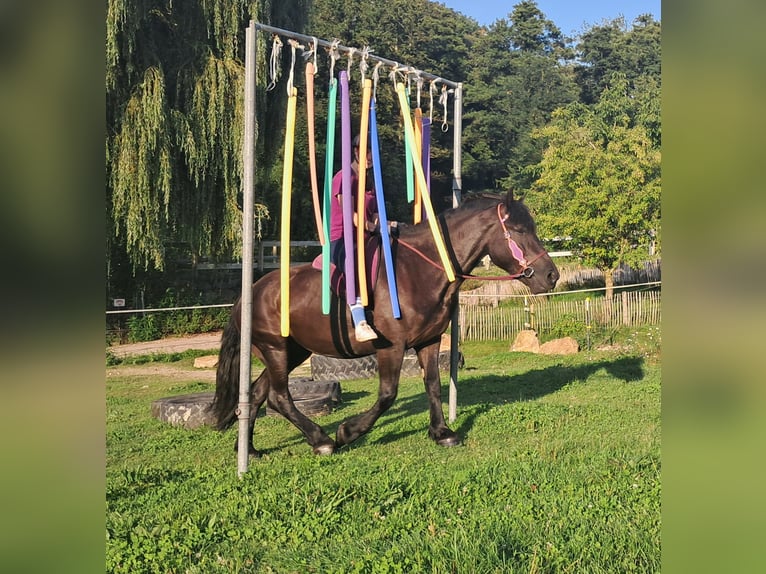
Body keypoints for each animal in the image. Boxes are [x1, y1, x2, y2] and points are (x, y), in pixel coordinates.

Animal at [209, 189, 559, 456]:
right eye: (519, 231)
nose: (551, 276)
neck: (418, 271)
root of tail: (253, 290)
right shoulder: (392, 347)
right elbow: (388, 394)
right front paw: (349, 431)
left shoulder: (429, 341)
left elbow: (433, 384)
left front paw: (441, 431)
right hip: (277, 350)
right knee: (279, 397)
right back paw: (322, 440)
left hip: (292, 351)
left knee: (257, 394)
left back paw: (250, 450)